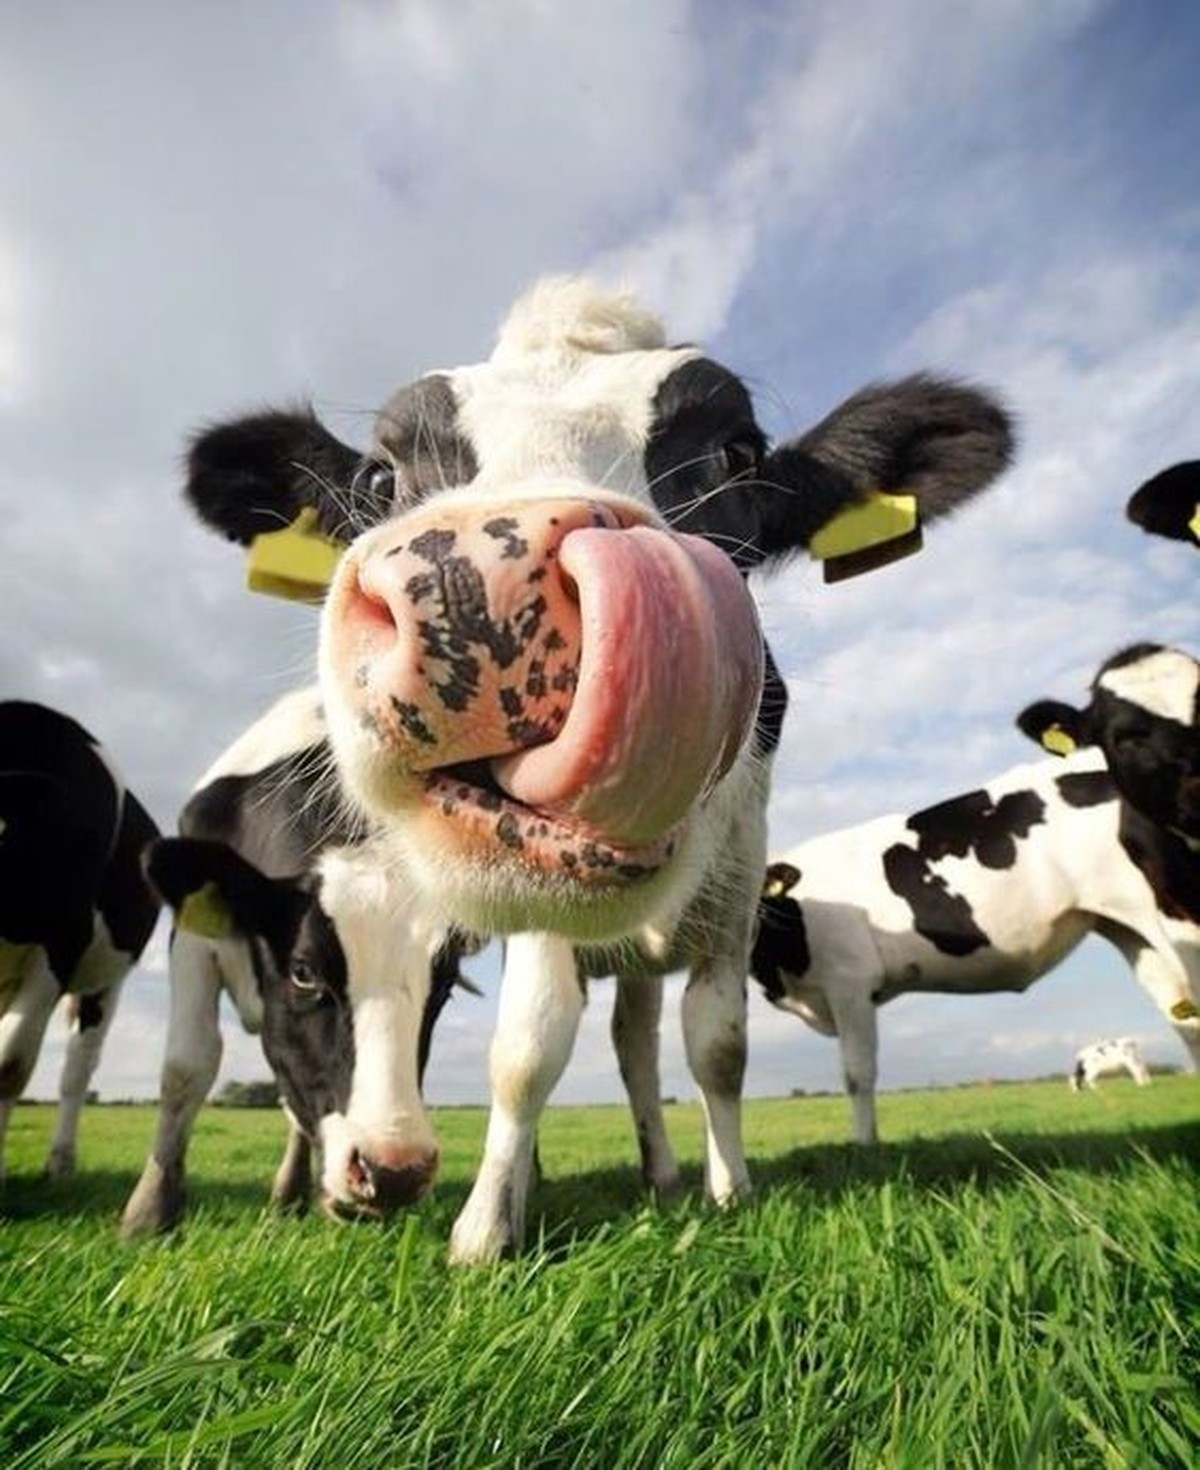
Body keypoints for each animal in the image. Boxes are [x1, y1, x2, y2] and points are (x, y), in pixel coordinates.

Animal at [120, 687, 478, 1235]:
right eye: (304, 972)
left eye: (445, 984)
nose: (393, 1172)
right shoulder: (192, 938)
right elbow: (187, 1065)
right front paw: (149, 1211)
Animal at [181, 276, 1012, 1259]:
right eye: (382, 478)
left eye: (735, 453)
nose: (481, 583)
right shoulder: (533, 895)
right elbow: (527, 1047)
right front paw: (485, 1230)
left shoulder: (739, 878)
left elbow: (716, 1044)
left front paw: (729, 1190)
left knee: (638, 1043)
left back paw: (662, 1173)